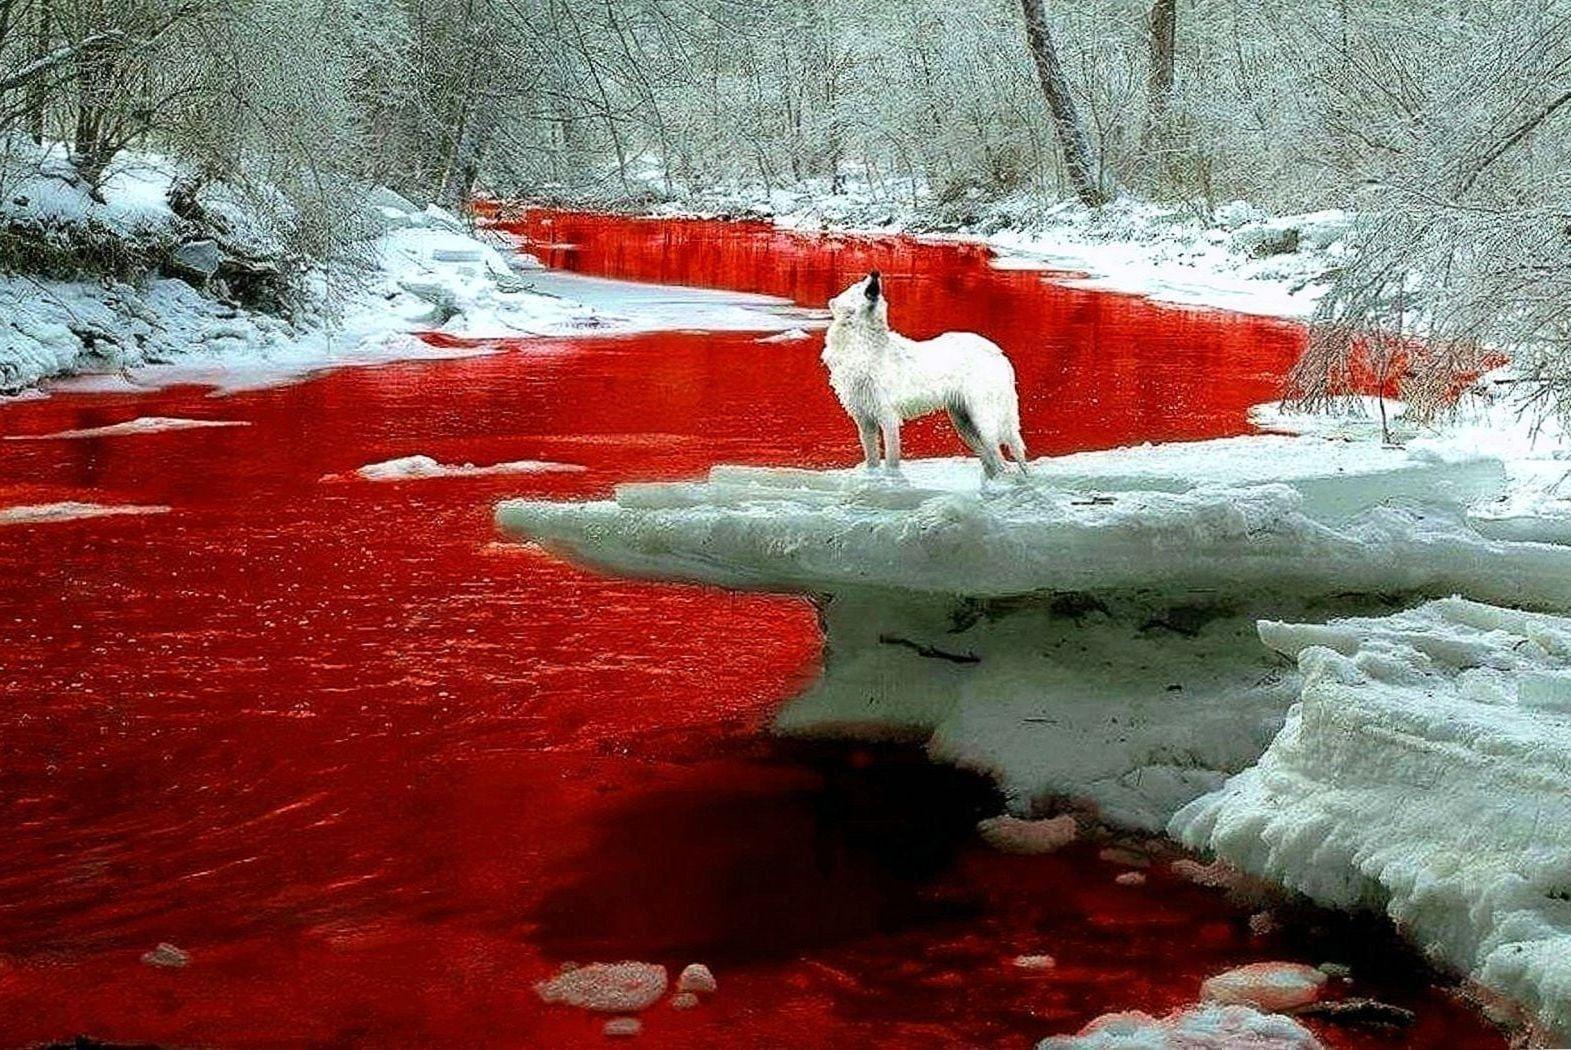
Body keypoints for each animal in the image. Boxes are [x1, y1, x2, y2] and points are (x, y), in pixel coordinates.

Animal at [821, 271, 1028, 478]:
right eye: (857, 285)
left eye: (862, 281)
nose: (875, 274)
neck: (864, 346)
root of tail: (998, 352)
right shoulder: (864, 419)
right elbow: (872, 460)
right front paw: (873, 477)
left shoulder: (888, 416)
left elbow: (891, 461)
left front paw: (891, 478)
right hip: (963, 422)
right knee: (991, 460)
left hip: (985, 417)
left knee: (1007, 455)